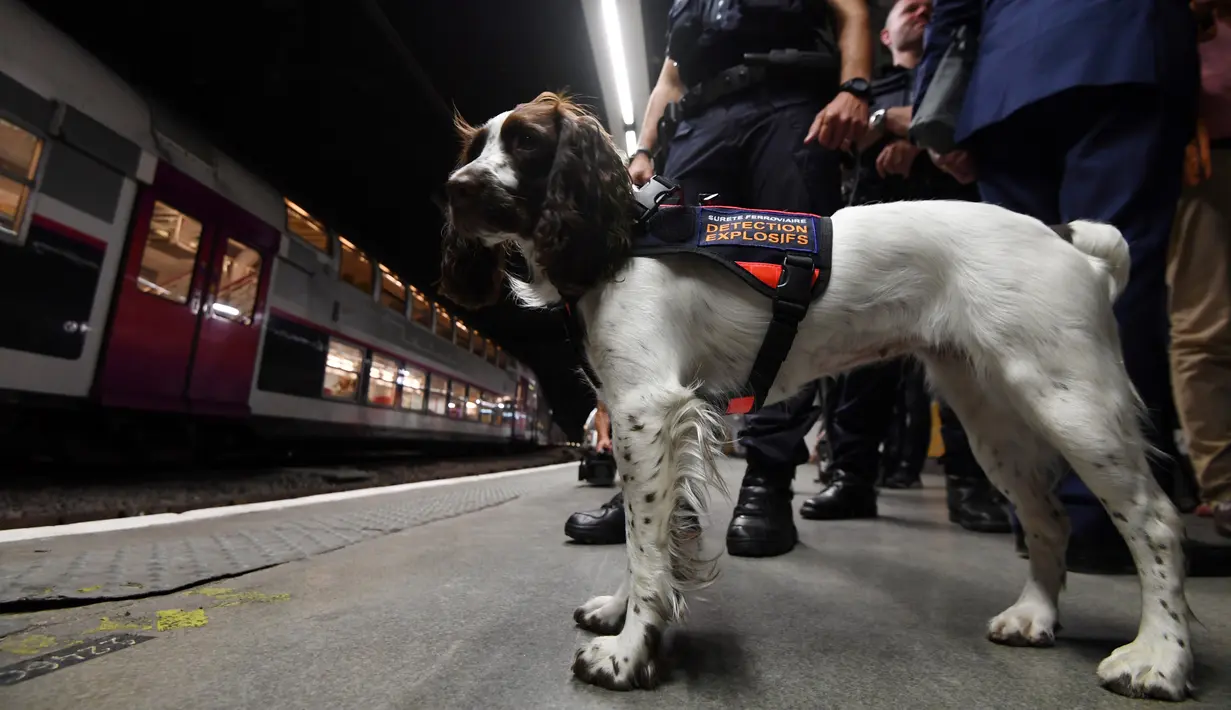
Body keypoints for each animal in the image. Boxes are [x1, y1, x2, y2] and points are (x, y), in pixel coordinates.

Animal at [440, 91, 1191, 698]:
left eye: (527, 143)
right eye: (477, 146)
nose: (454, 188)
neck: (624, 238)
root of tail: (1067, 241)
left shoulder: (648, 408)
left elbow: (647, 541)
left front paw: (629, 653)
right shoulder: (651, 418)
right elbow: (646, 527)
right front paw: (623, 614)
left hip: (1073, 403)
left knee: (1154, 520)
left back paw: (1160, 658)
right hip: (993, 418)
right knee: (1047, 519)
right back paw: (1036, 615)